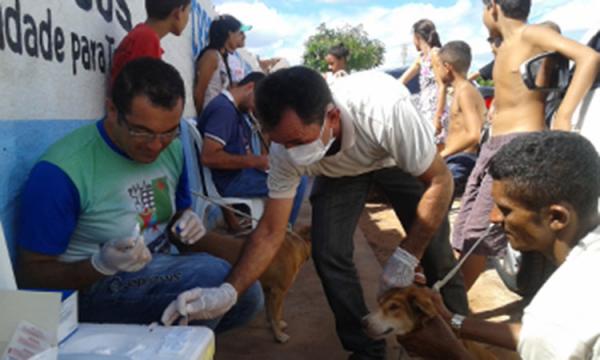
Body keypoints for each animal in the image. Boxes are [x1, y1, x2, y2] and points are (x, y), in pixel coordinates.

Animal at [182, 225, 314, 344]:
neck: (297, 245)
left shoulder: (268, 290)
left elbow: (271, 314)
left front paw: (274, 326)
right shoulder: (278, 292)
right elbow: (276, 314)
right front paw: (279, 336)